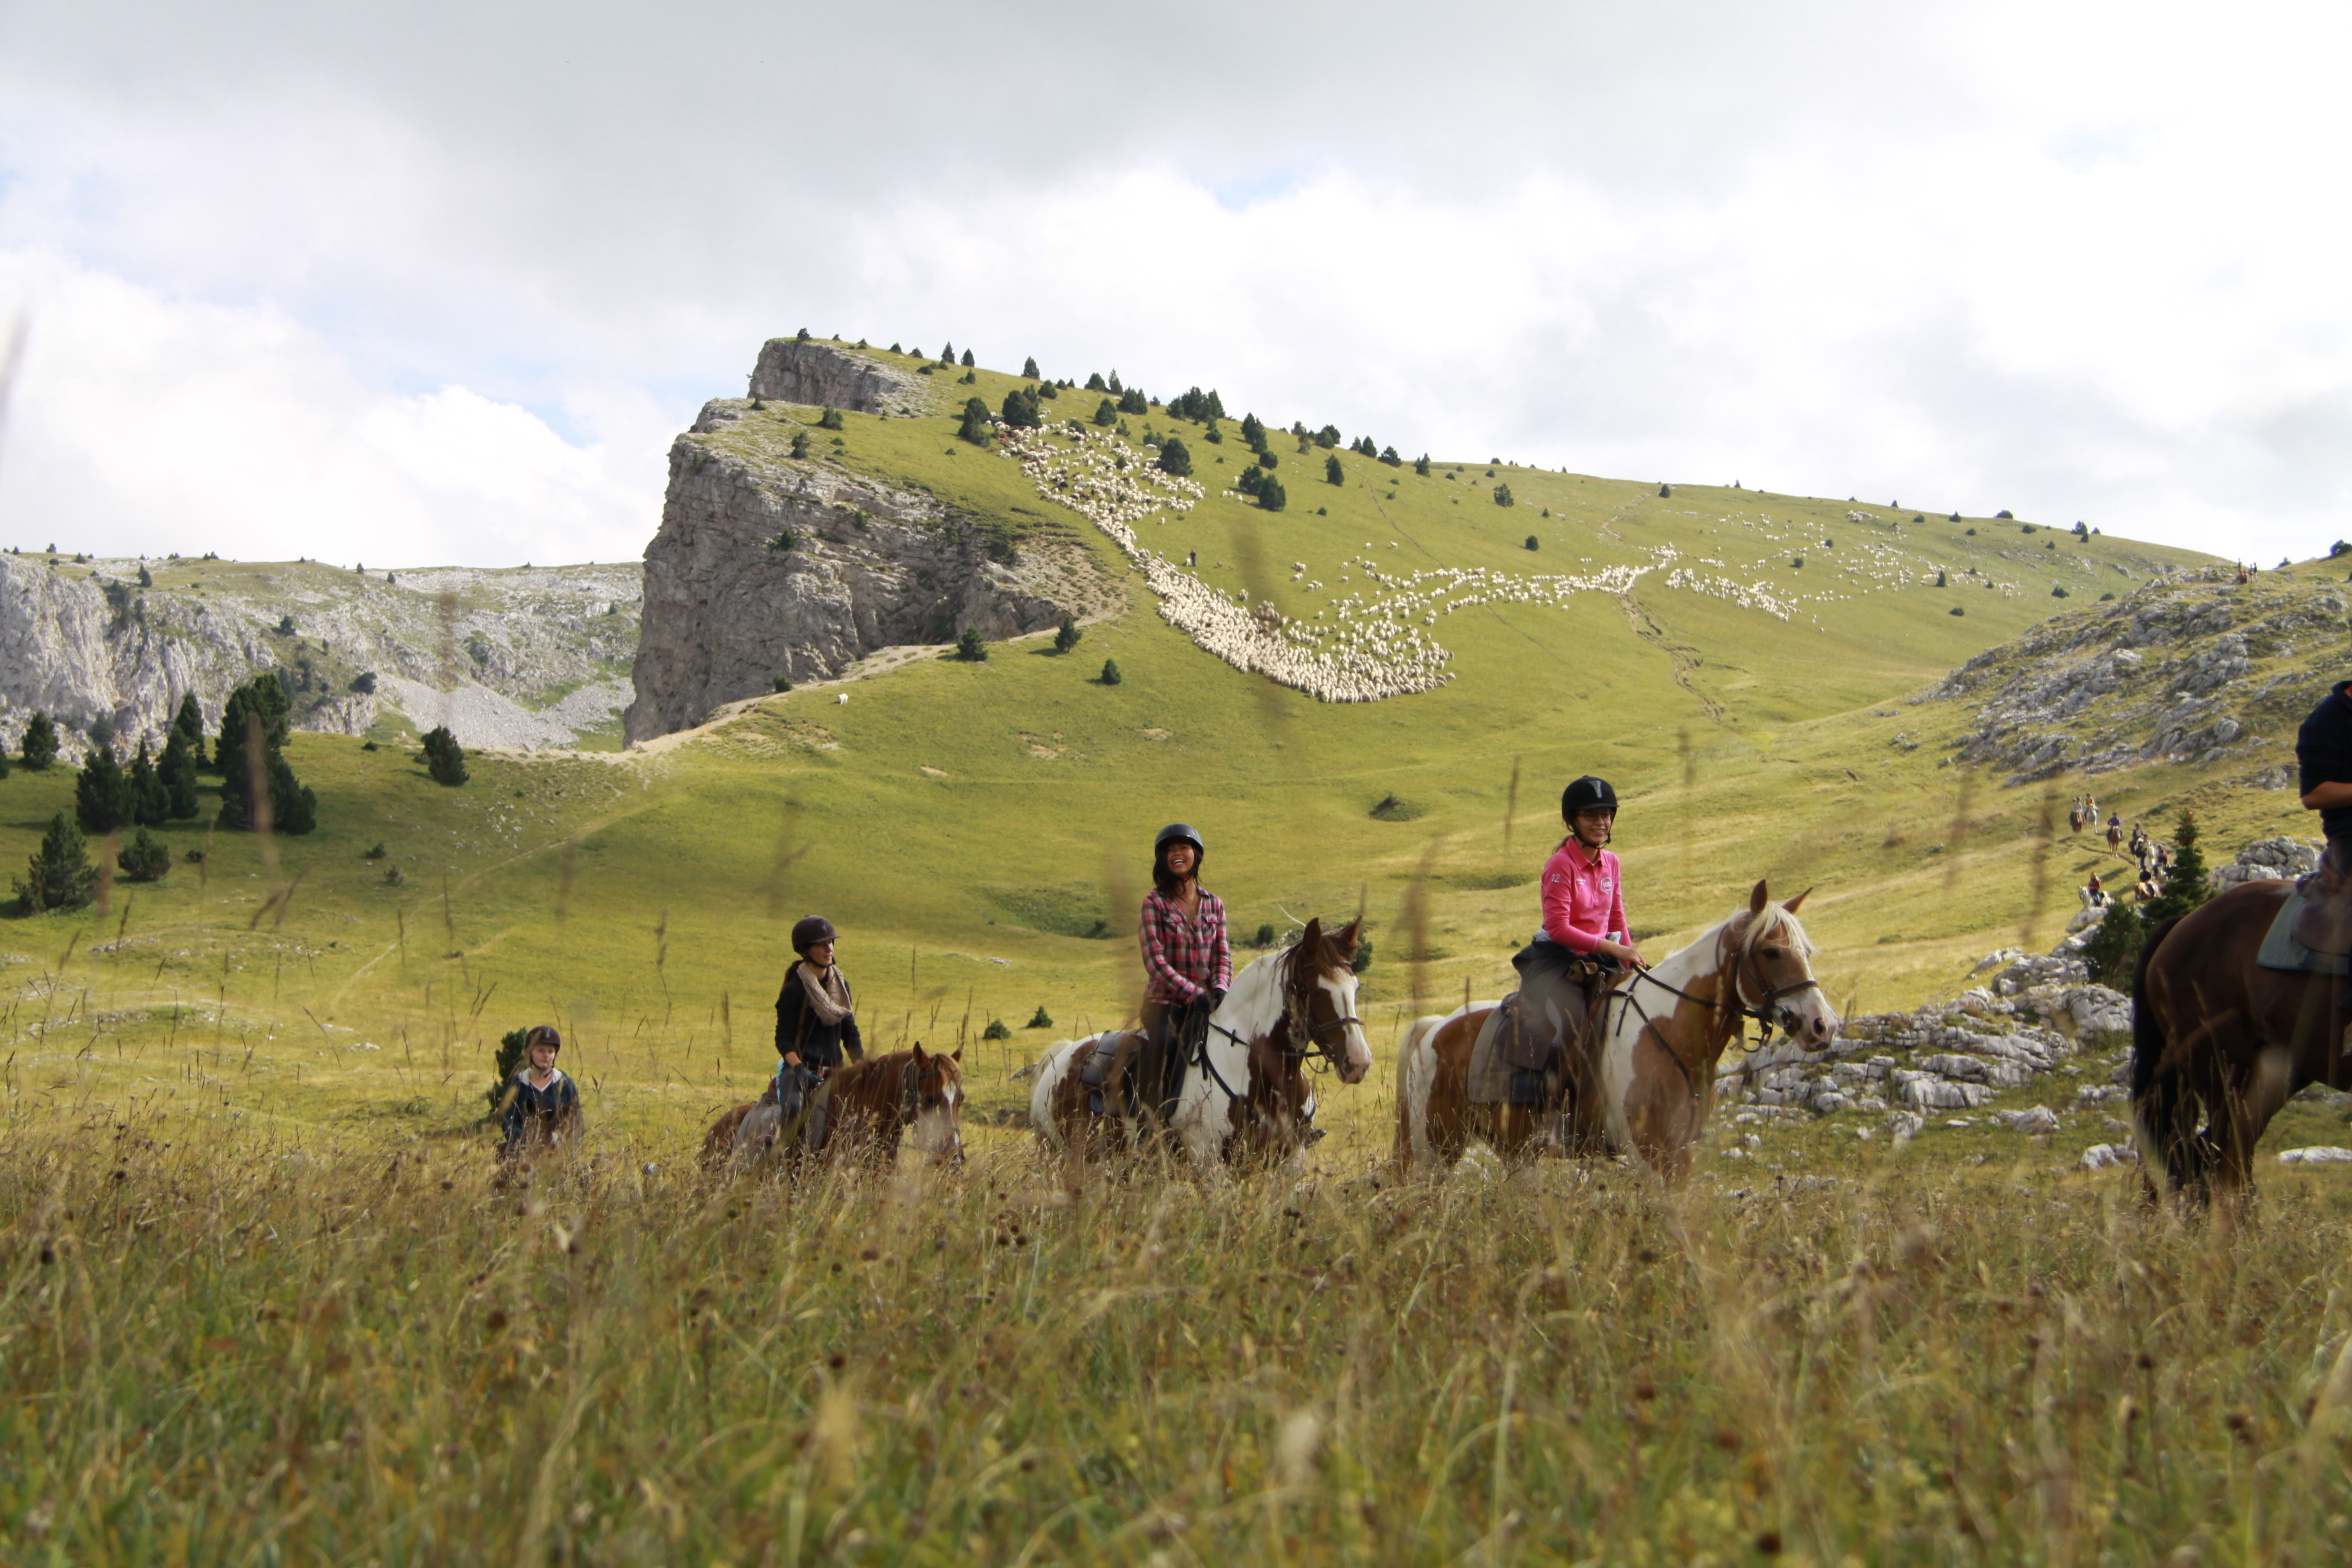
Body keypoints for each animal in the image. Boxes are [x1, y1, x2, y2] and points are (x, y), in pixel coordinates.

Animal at [1029, 917, 1374, 1168]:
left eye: (1356, 987)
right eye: (1311, 990)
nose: (1358, 1062)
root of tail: (1061, 1057)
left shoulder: (1290, 1163)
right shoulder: (1212, 1167)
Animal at [1394, 881, 1838, 1182]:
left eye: (1806, 952)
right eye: (1770, 951)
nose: (1823, 1025)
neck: (1668, 1030)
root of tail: (1434, 1028)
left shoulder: (1679, 1151)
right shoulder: (1647, 1152)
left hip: (1514, 1148)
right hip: (1436, 1150)